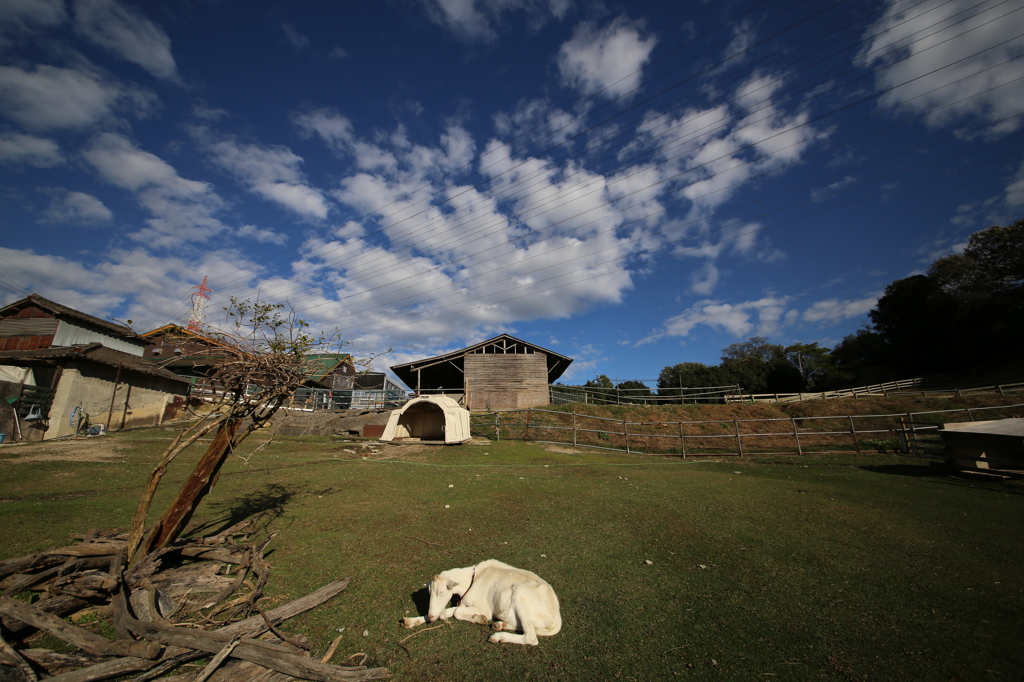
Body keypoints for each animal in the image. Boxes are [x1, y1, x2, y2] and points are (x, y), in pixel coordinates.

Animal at [399, 557, 561, 643]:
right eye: (429, 593)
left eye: (441, 591)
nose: (432, 617)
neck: (472, 580)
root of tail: (557, 618)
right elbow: (449, 611)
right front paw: (411, 621)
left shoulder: (484, 607)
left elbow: (457, 612)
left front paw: (480, 618)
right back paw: (501, 625)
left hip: (521, 594)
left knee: (531, 638)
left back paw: (498, 636)